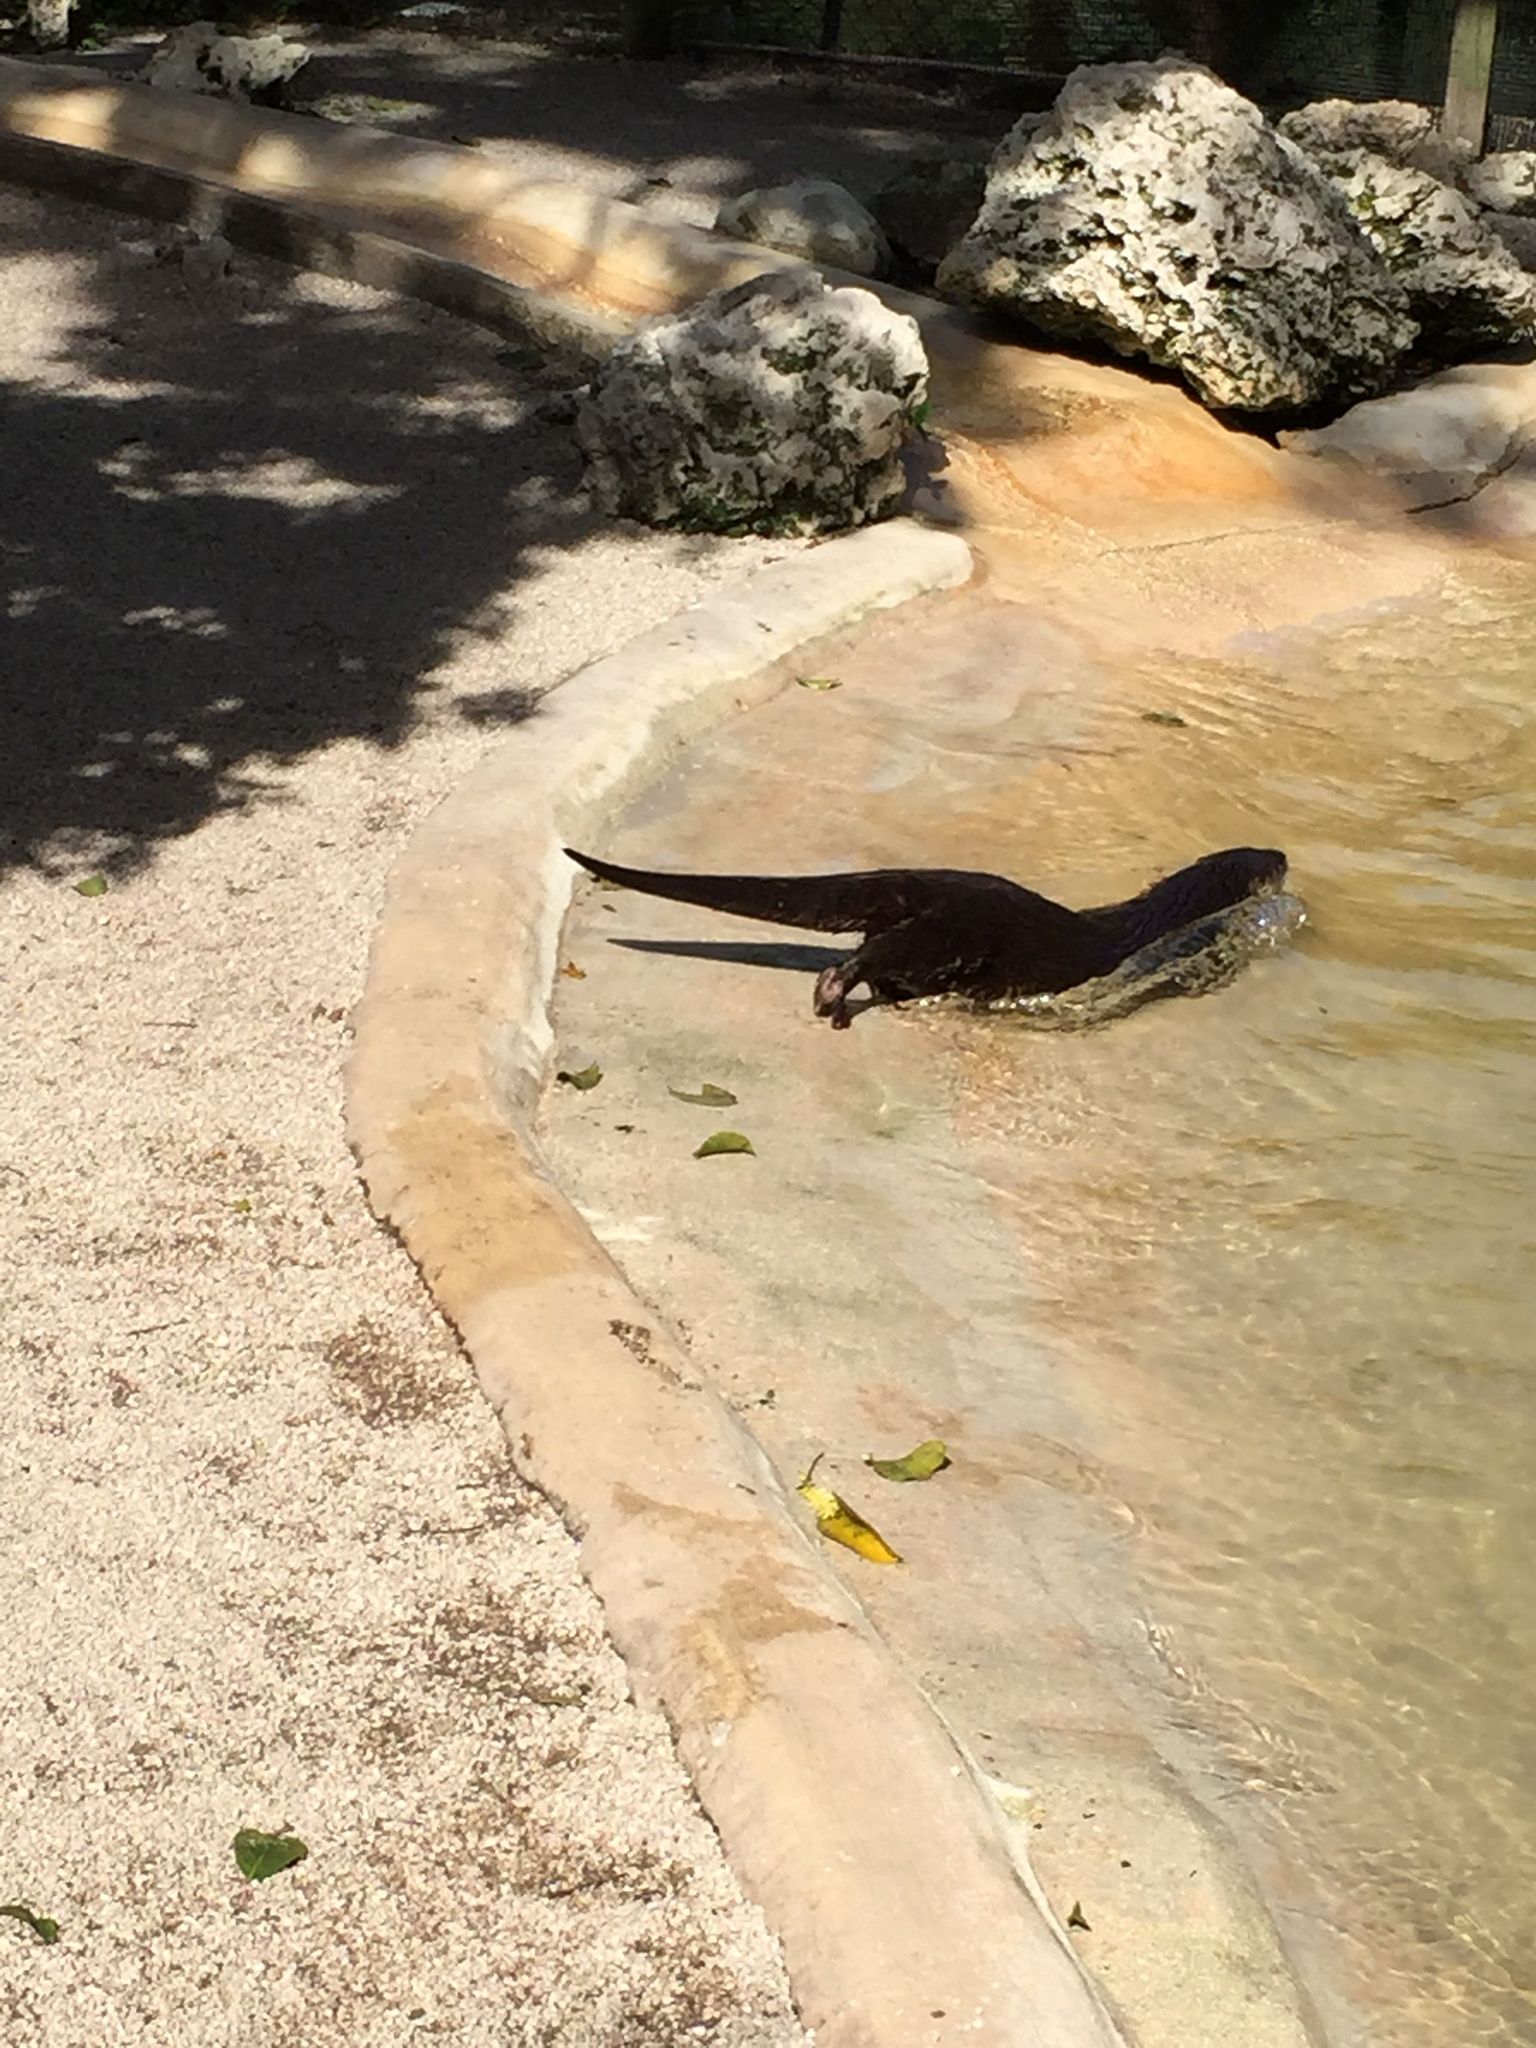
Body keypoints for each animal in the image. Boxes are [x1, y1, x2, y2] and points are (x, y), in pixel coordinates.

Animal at [566, 844, 1289, 1029]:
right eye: (1270, 862)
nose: (1283, 854)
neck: (1159, 911)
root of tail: (916, 883)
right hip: (951, 934)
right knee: (867, 958)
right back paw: (834, 1000)